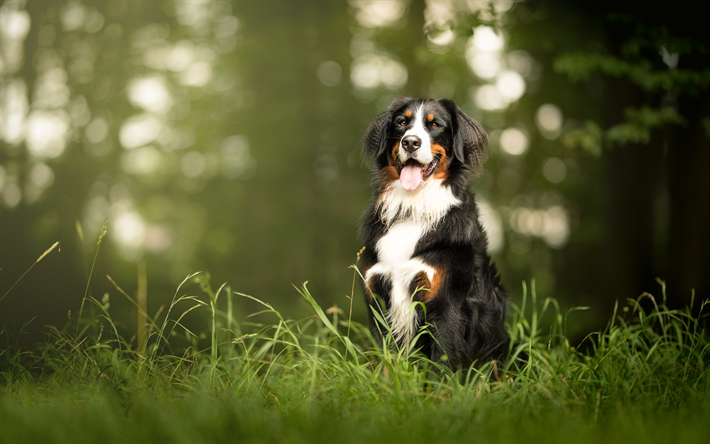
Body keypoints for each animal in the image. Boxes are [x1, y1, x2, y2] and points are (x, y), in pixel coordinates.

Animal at [362, 96, 512, 372]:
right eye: (402, 123)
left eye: (435, 125)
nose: (410, 142)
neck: (413, 206)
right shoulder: (377, 296)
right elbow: (385, 362)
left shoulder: (446, 304)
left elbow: (440, 365)